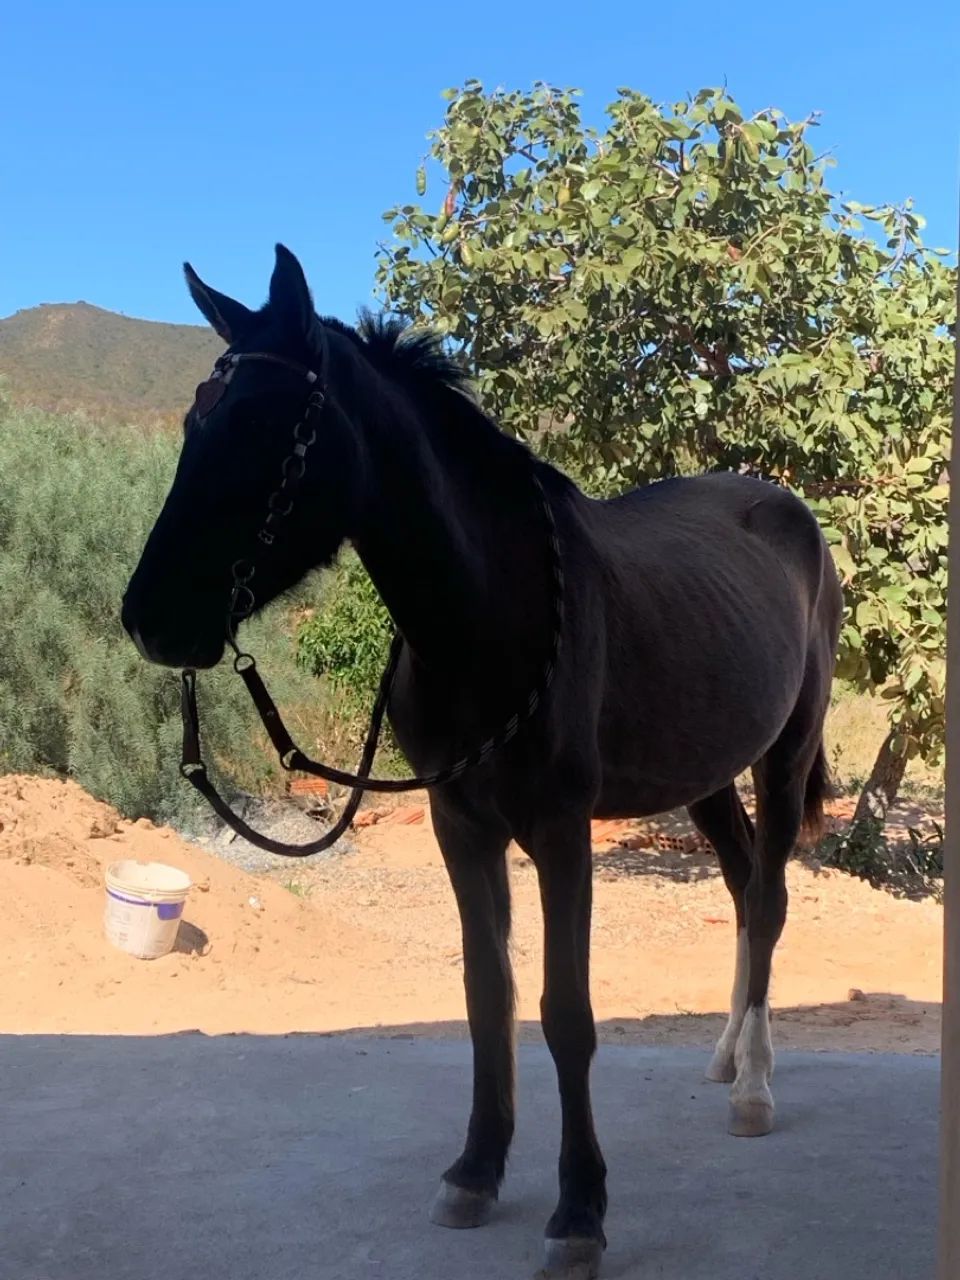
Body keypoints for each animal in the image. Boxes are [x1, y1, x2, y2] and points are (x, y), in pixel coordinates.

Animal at [122, 245, 842, 1278]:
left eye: (264, 429)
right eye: (193, 420)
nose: (148, 619)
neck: (491, 611)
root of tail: (784, 507)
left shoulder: (561, 833)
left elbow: (565, 1013)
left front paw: (579, 1213)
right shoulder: (461, 826)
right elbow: (485, 995)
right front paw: (476, 1169)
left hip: (784, 755)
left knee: (772, 900)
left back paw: (754, 1088)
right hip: (704, 774)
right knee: (746, 891)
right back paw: (725, 1057)